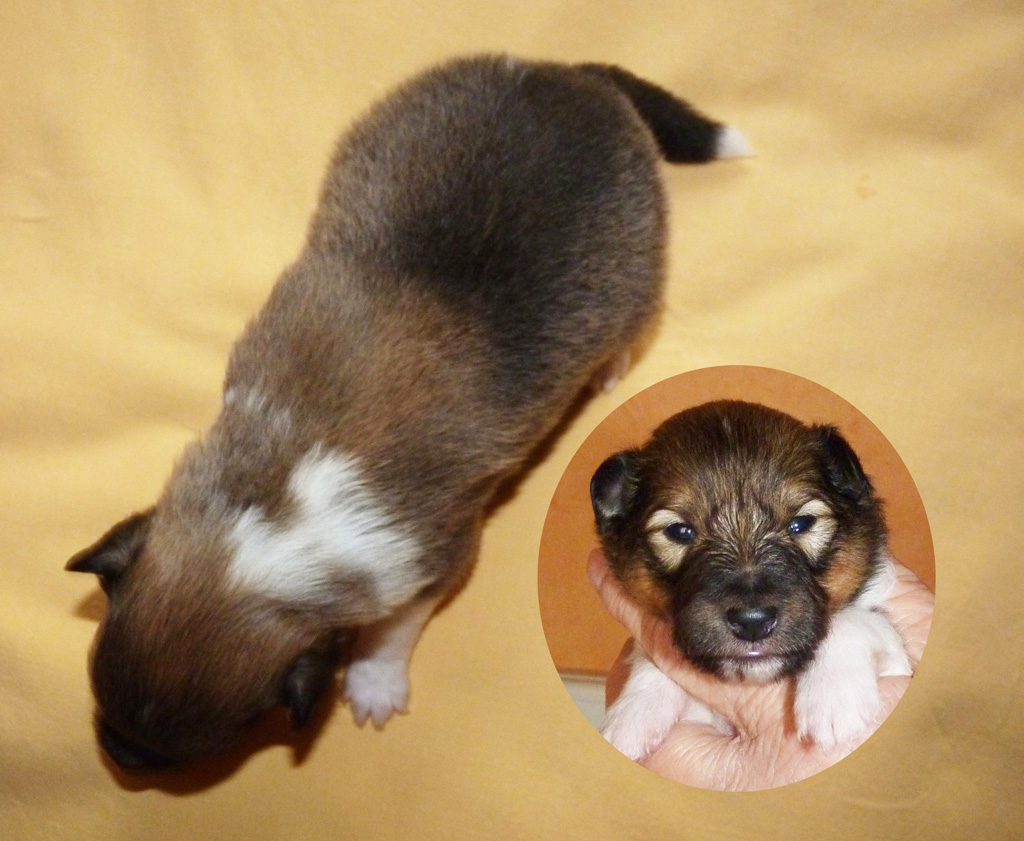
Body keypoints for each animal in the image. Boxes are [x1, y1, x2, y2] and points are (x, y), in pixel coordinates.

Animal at [65, 55, 751, 769]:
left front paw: (372, 683)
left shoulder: (432, 558)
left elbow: (391, 631)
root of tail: (571, 75)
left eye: (188, 751)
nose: (119, 759)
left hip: (637, 274)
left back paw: (608, 369)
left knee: (626, 330)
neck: (274, 508)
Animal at [590, 400, 912, 760]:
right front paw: (630, 716)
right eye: (679, 531)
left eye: (802, 523)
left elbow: (856, 620)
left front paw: (835, 698)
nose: (752, 622)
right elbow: (647, 659)